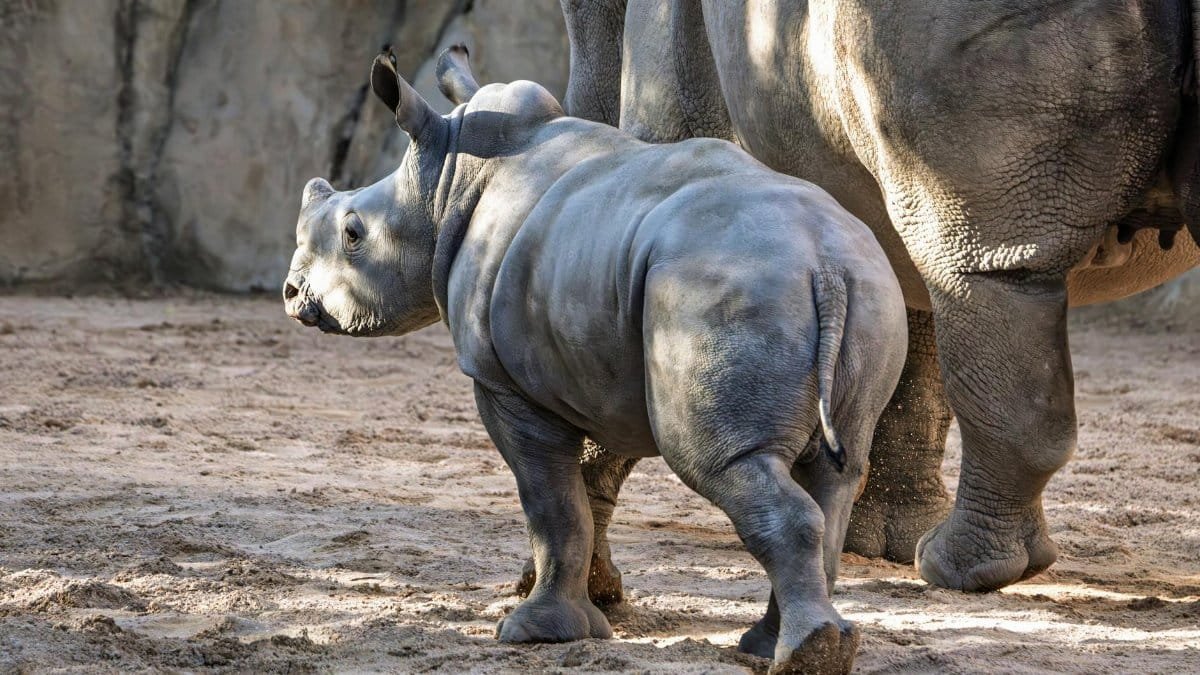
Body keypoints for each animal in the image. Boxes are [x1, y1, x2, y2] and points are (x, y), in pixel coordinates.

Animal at [283, 46, 907, 673]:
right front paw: (584, 612)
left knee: (720, 461)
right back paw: (777, 645)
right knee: (835, 473)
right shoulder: (596, 361)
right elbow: (584, 491)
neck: (444, 181)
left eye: (353, 233)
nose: (290, 292)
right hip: (869, 292)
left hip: (730, 291)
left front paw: (537, 632)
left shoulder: (504, 382)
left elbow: (553, 505)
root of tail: (824, 263)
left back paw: (807, 652)